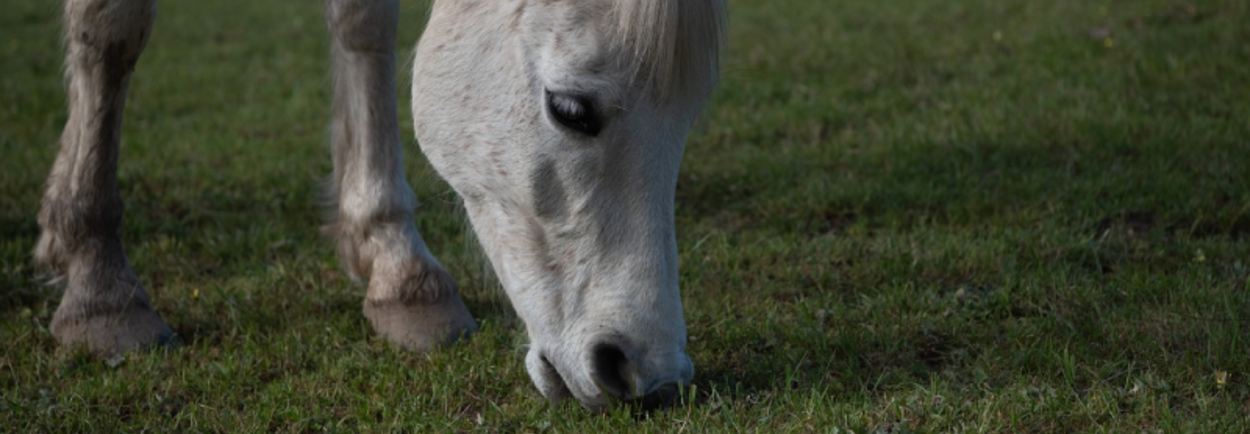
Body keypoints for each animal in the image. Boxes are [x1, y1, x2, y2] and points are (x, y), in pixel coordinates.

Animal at [36, 0, 725, 411]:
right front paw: (99, 285)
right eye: (572, 109)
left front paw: (399, 270)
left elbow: (363, 20)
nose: (651, 378)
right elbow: (112, 28)